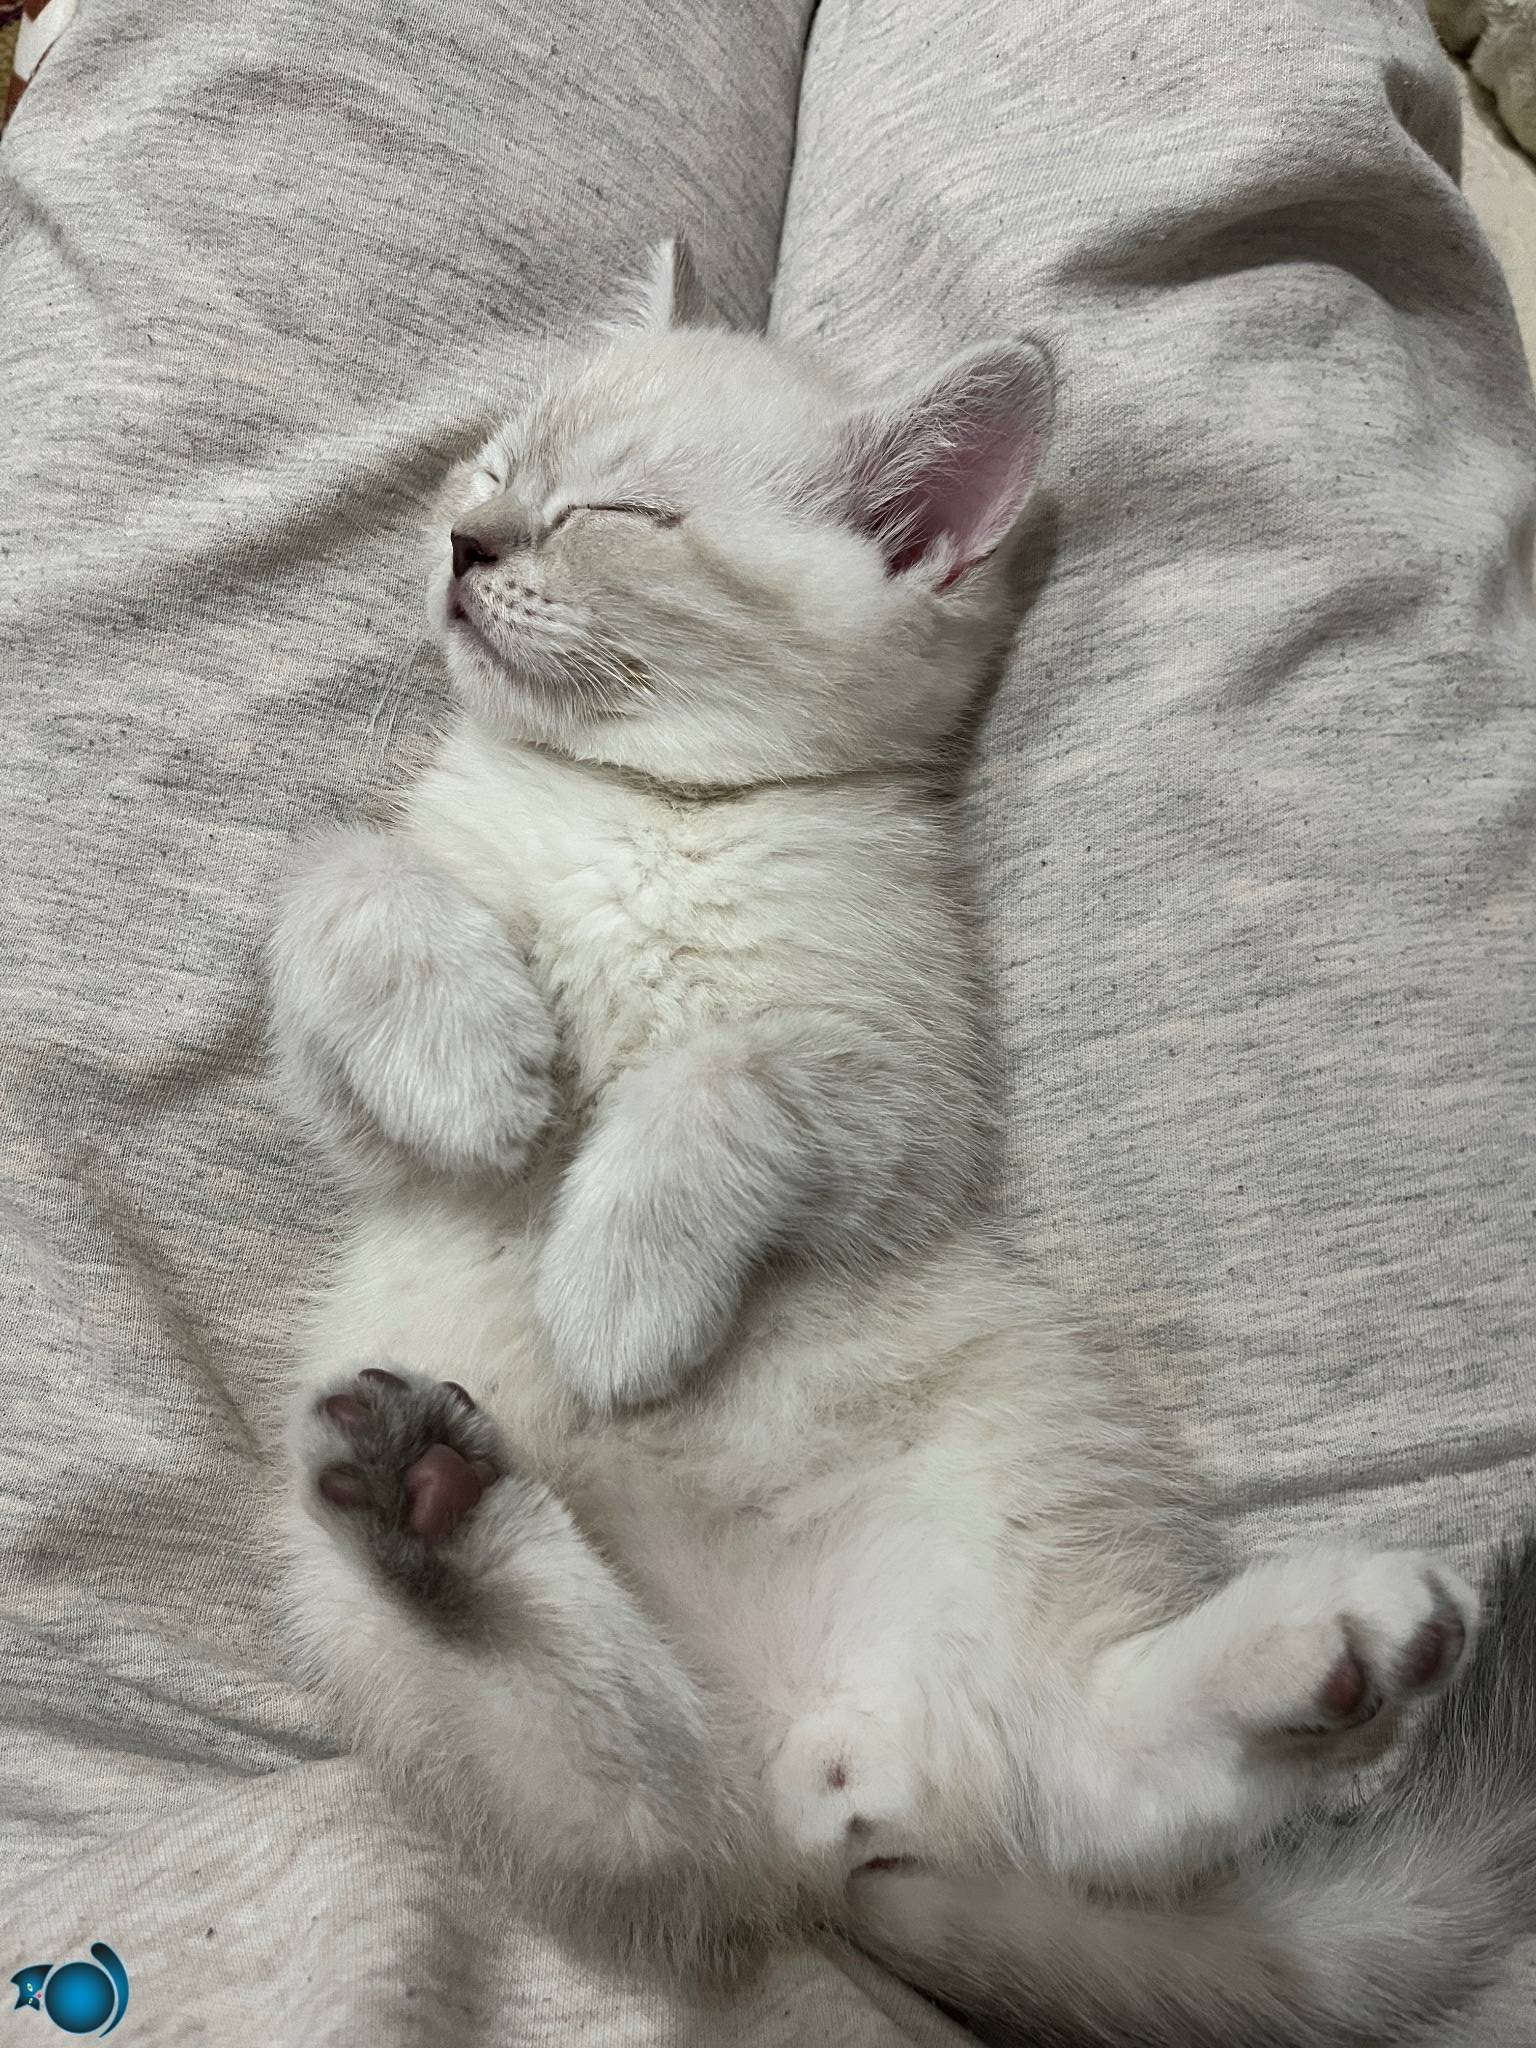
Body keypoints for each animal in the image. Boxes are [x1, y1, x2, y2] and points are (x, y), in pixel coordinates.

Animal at [268, 239, 1536, 2044]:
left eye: (616, 513)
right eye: (493, 466)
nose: (465, 540)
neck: (636, 811)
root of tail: (810, 1771)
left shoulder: (895, 1093)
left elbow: (721, 1072)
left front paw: (617, 1291)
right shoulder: (360, 1111)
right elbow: (344, 880)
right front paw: (475, 1061)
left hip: (1007, 1468)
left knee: (1065, 1778)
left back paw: (1322, 1648)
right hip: (396, 1638)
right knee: (651, 1804)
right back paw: (432, 1504)